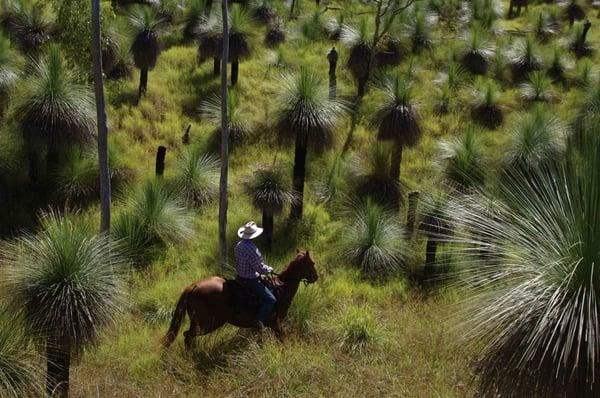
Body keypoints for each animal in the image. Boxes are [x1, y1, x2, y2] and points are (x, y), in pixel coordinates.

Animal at [159, 252, 318, 348]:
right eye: (312, 263)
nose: (315, 277)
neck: (281, 287)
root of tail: (194, 286)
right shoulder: (275, 323)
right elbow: (283, 338)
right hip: (208, 324)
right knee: (188, 336)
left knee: (189, 337)